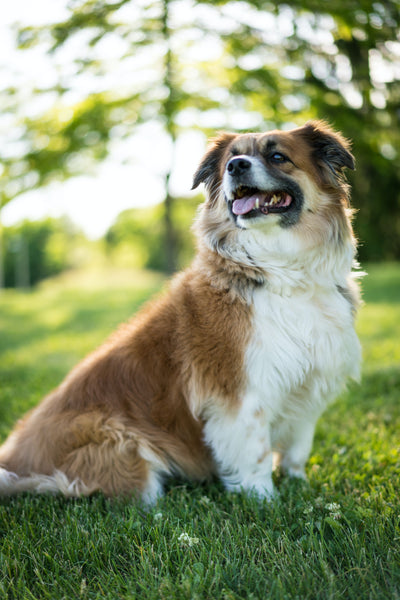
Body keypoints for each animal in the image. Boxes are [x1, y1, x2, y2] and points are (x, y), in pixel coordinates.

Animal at [0, 120, 362, 502]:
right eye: (230, 160)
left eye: (278, 157)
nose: (236, 167)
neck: (279, 268)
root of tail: (15, 459)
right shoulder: (240, 393)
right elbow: (256, 453)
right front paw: (264, 501)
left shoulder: (311, 383)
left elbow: (297, 449)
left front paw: (298, 485)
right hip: (118, 440)